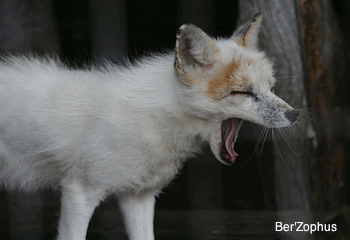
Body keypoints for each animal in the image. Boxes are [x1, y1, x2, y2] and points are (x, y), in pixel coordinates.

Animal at [0, 13, 298, 240]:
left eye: (271, 89)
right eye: (242, 92)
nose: (295, 115)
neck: (152, 122)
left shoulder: (138, 196)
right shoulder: (80, 191)